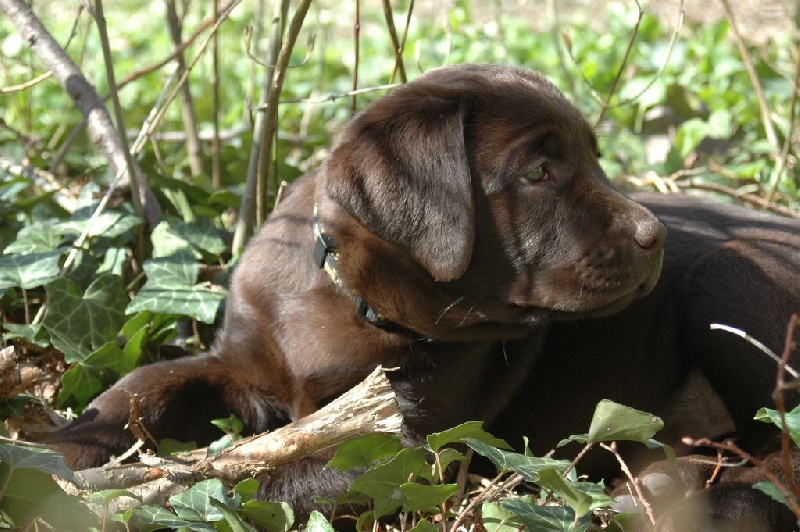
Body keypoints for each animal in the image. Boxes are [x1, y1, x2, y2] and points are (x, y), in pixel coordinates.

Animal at [50, 64, 800, 528]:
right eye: (537, 171)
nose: (656, 235)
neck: (349, 299)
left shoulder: (413, 441)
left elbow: (262, 477)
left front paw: (139, 503)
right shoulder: (239, 362)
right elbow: (139, 388)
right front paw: (55, 453)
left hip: (730, 276)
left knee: (784, 455)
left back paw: (688, 501)